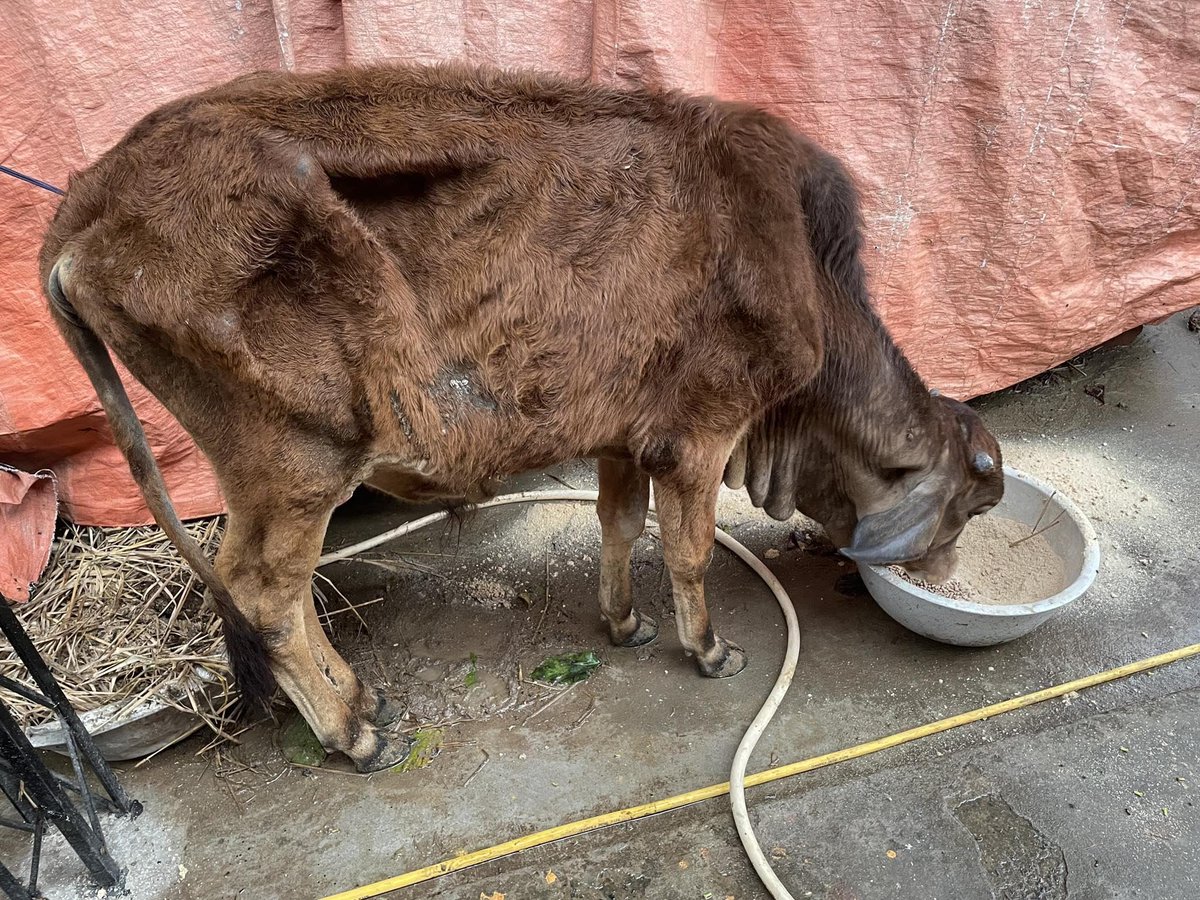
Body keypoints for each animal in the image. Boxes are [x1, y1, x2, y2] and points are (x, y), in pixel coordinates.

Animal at [39, 64, 1003, 772]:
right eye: (967, 506)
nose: (948, 571)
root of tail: (89, 200)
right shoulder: (702, 434)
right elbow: (688, 552)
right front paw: (708, 651)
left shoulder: (625, 436)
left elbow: (620, 526)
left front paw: (623, 624)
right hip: (297, 461)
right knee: (262, 590)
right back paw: (355, 732)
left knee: (281, 591)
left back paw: (362, 698)